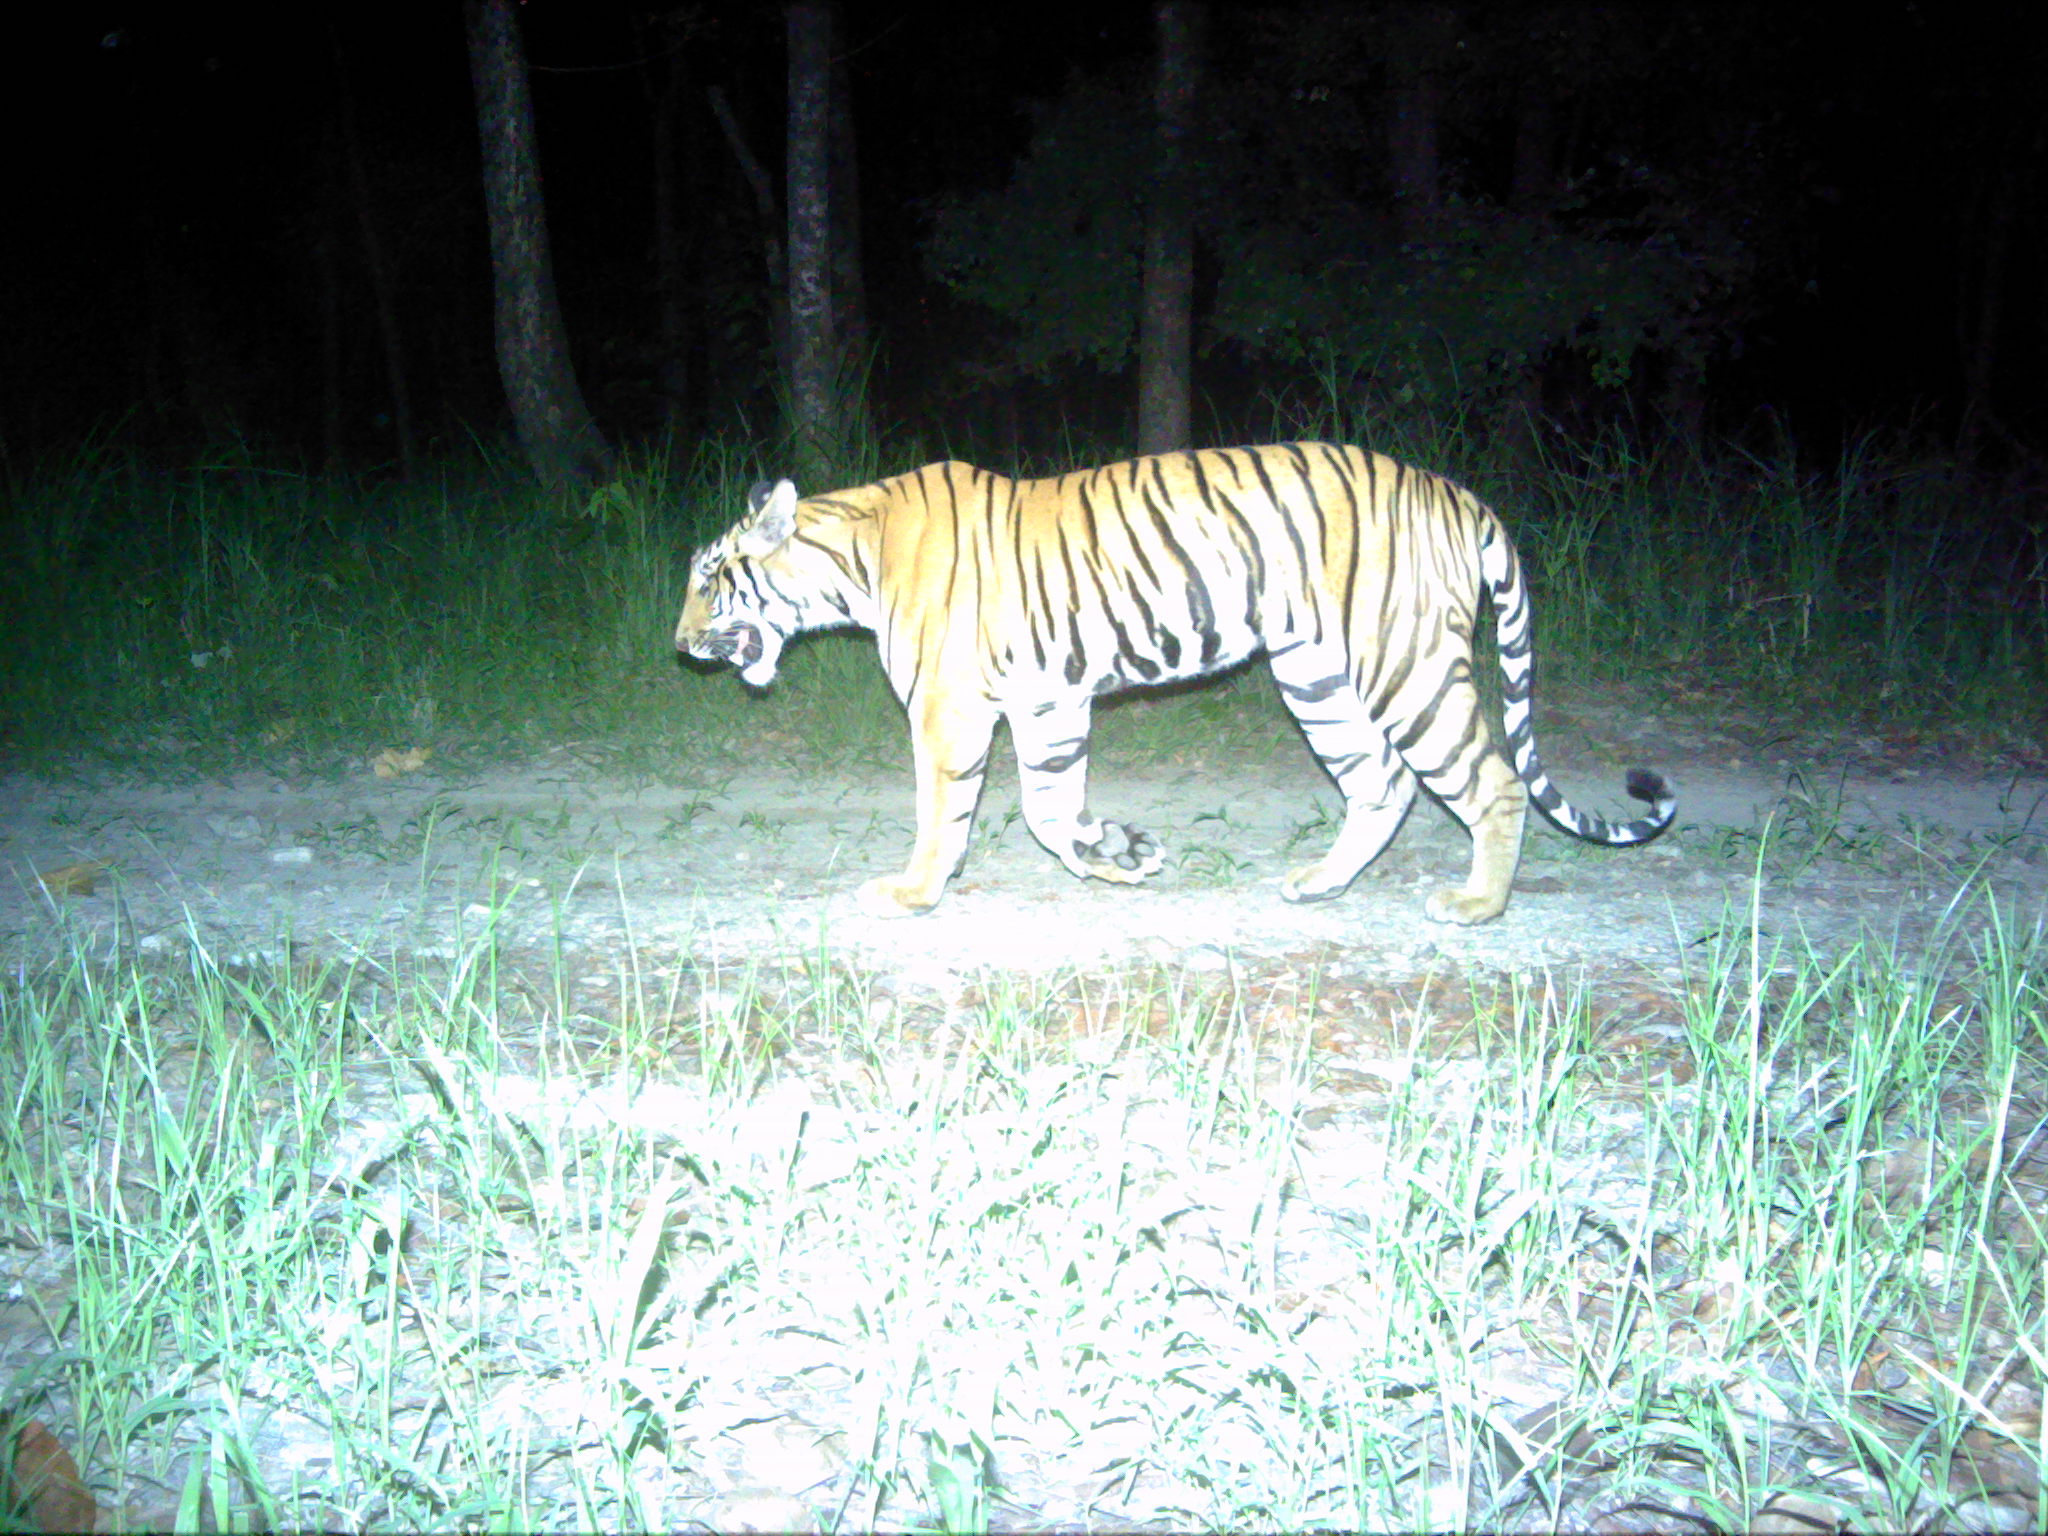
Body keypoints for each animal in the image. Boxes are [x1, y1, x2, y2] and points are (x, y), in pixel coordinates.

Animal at [675, 442, 1675, 924]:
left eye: (709, 577)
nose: (679, 644)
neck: (850, 557)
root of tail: (1456, 492)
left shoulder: (948, 710)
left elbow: (942, 811)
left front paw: (913, 893)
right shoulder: (1051, 700)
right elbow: (1049, 810)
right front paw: (1120, 854)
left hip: (1408, 665)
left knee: (1493, 783)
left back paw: (1476, 904)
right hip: (1317, 677)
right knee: (1382, 783)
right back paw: (1319, 884)